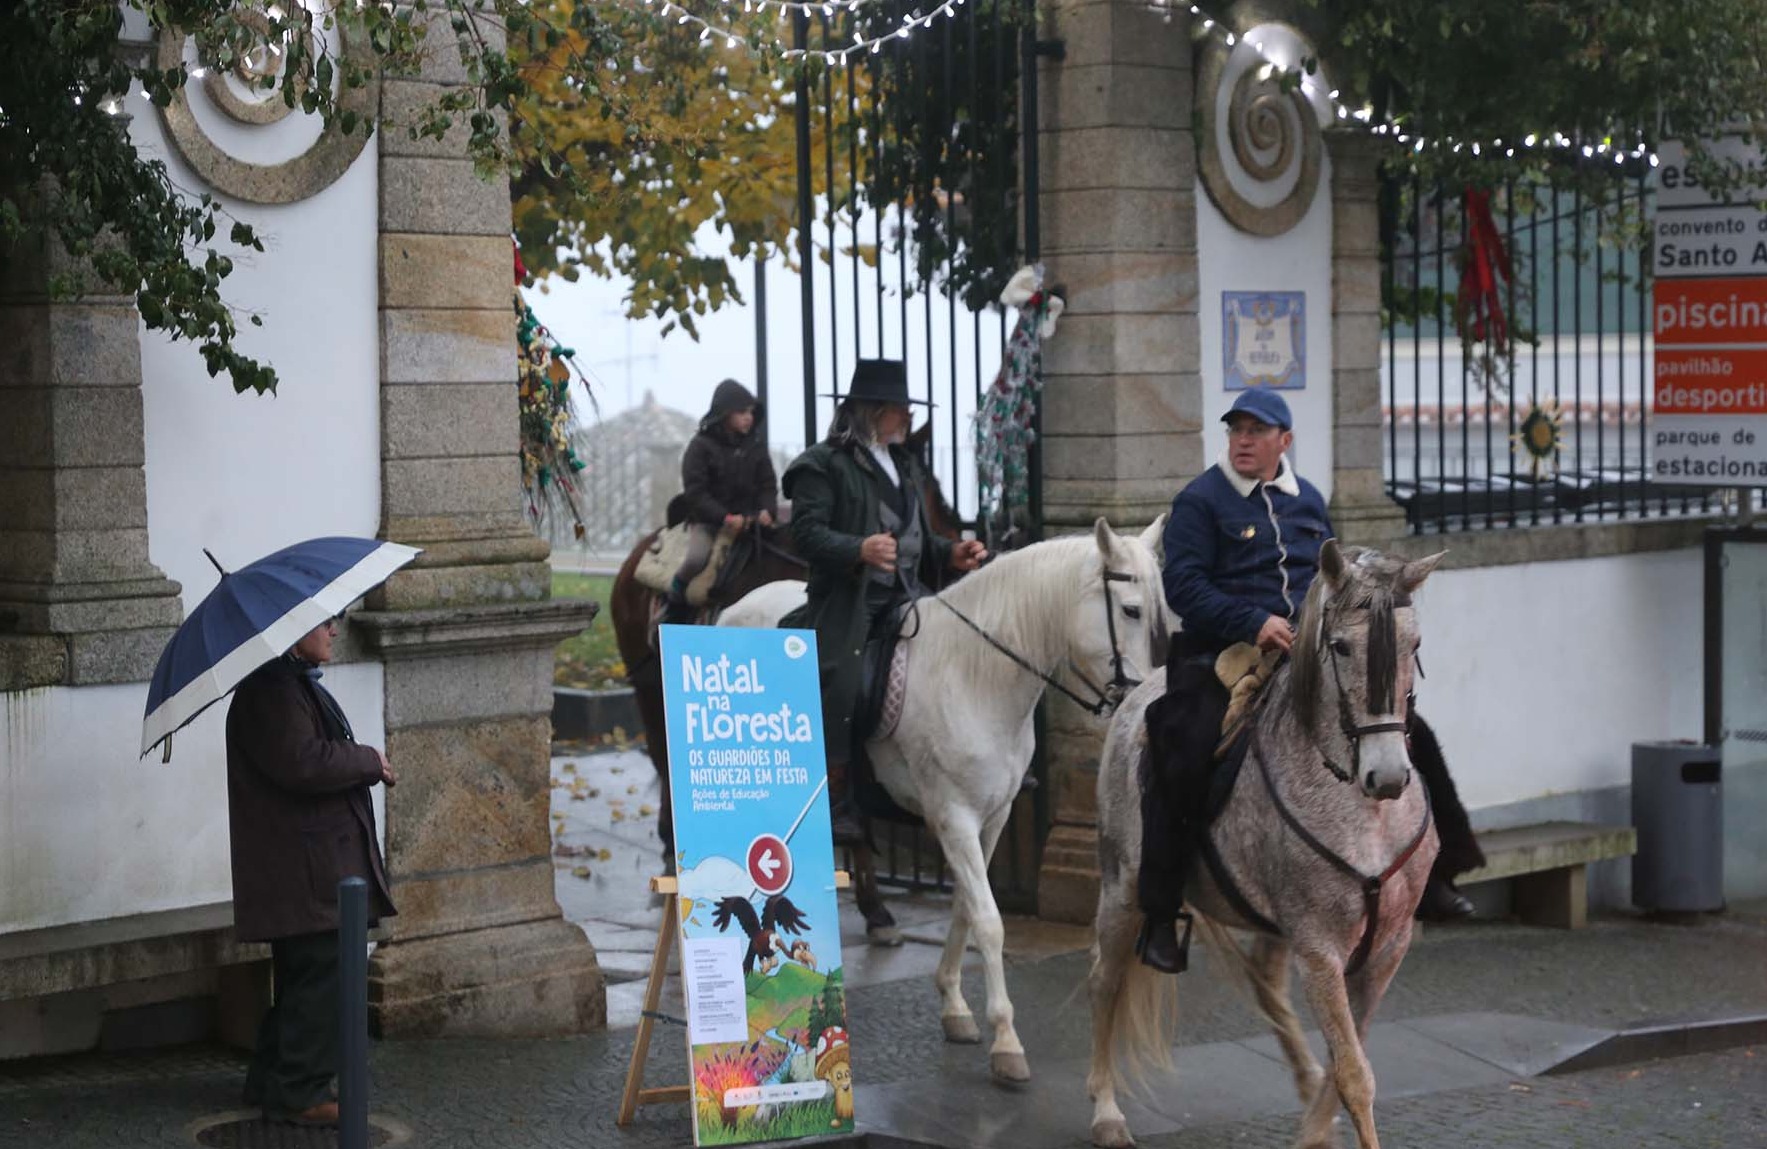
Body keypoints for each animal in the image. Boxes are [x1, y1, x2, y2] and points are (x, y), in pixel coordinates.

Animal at [719, 517, 1170, 1084]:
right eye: (1131, 610)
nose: (1140, 704)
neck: (976, 675)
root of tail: (733, 607)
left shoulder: (990, 818)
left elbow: (965, 908)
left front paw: (954, 1006)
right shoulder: (953, 817)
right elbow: (990, 922)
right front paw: (1006, 1039)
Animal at [1085, 540, 1445, 1149]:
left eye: (1413, 644)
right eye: (1342, 646)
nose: (1389, 776)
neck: (1365, 813)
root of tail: (1136, 696)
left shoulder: (1384, 949)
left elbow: (1346, 1063)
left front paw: (1314, 1127)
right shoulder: (1320, 950)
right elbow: (1354, 1074)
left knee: (1265, 986)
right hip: (1122, 889)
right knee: (1106, 984)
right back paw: (1107, 1113)